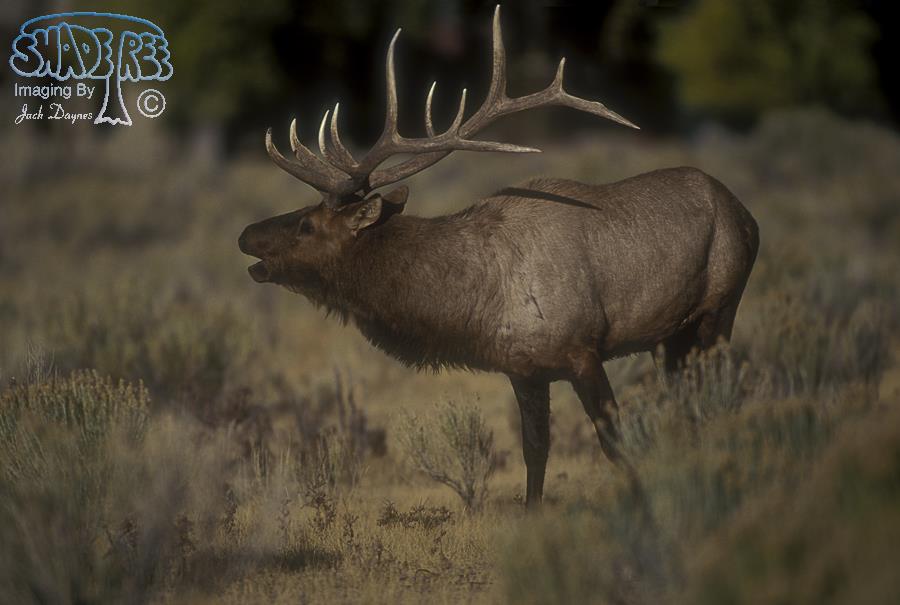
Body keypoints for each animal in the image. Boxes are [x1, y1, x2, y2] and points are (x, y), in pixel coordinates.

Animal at [239, 6, 759, 506]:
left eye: (307, 225)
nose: (246, 234)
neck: (476, 299)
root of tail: (748, 216)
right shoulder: (523, 369)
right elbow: (535, 451)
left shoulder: (582, 349)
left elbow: (614, 442)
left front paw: (645, 499)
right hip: (668, 338)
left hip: (720, 309)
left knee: (718, 397)